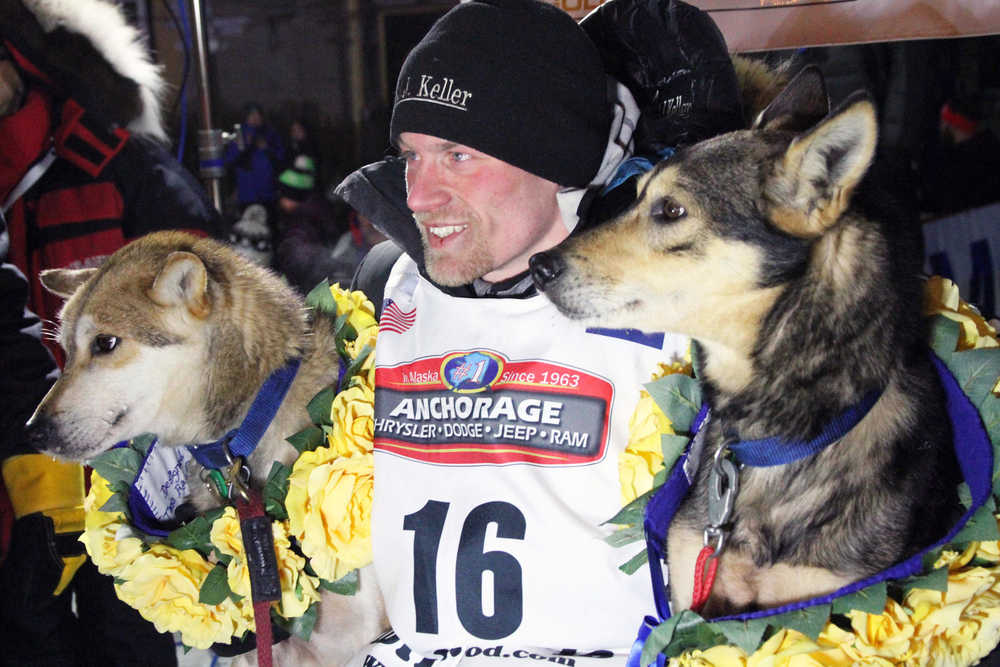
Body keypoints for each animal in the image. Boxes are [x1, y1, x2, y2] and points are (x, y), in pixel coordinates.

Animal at [532, 66, 960, 616]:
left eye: (672, 210)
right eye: (638, 196)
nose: (538, 267)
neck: (776, 443)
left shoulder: (830, 602)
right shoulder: (691, 586)